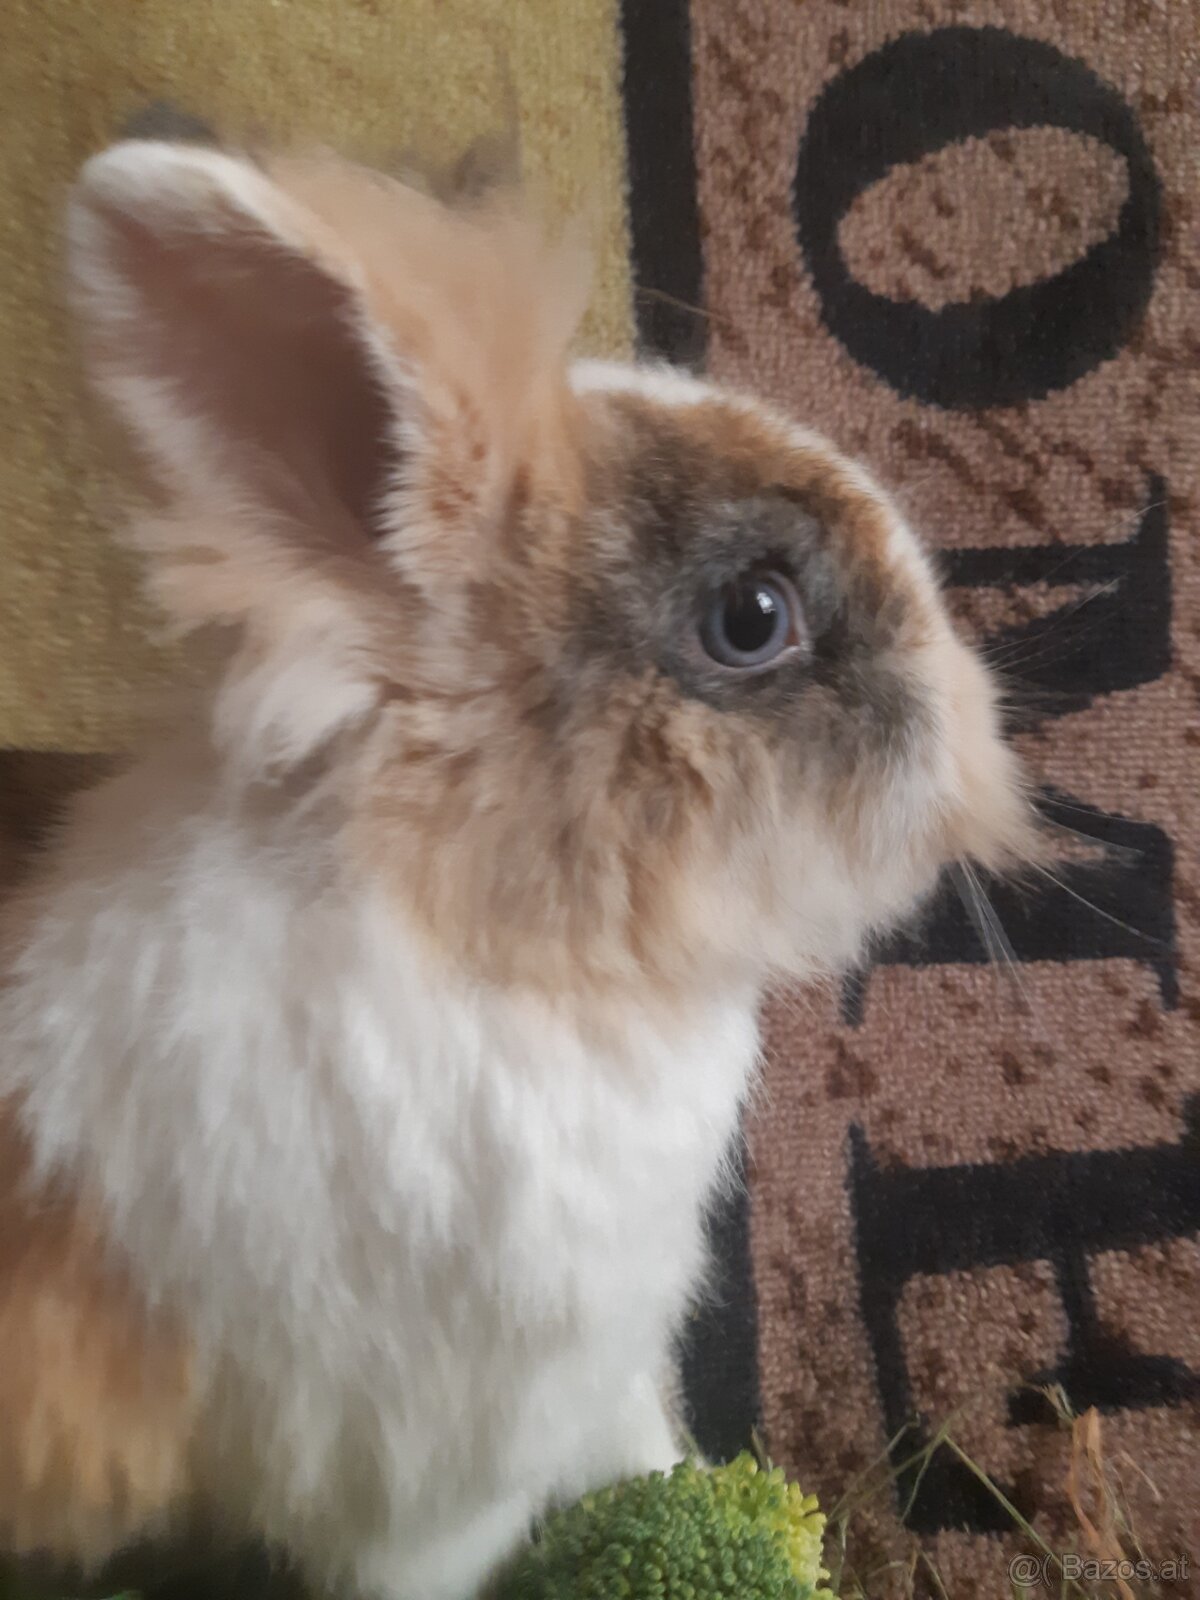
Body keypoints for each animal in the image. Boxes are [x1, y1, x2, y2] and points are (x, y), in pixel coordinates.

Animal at [0, 140, 1034, 1600]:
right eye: (753, 616)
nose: (976, 736)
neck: (516, 959)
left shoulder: (595, 1373)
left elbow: (649, 1456)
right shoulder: (427, 1486)